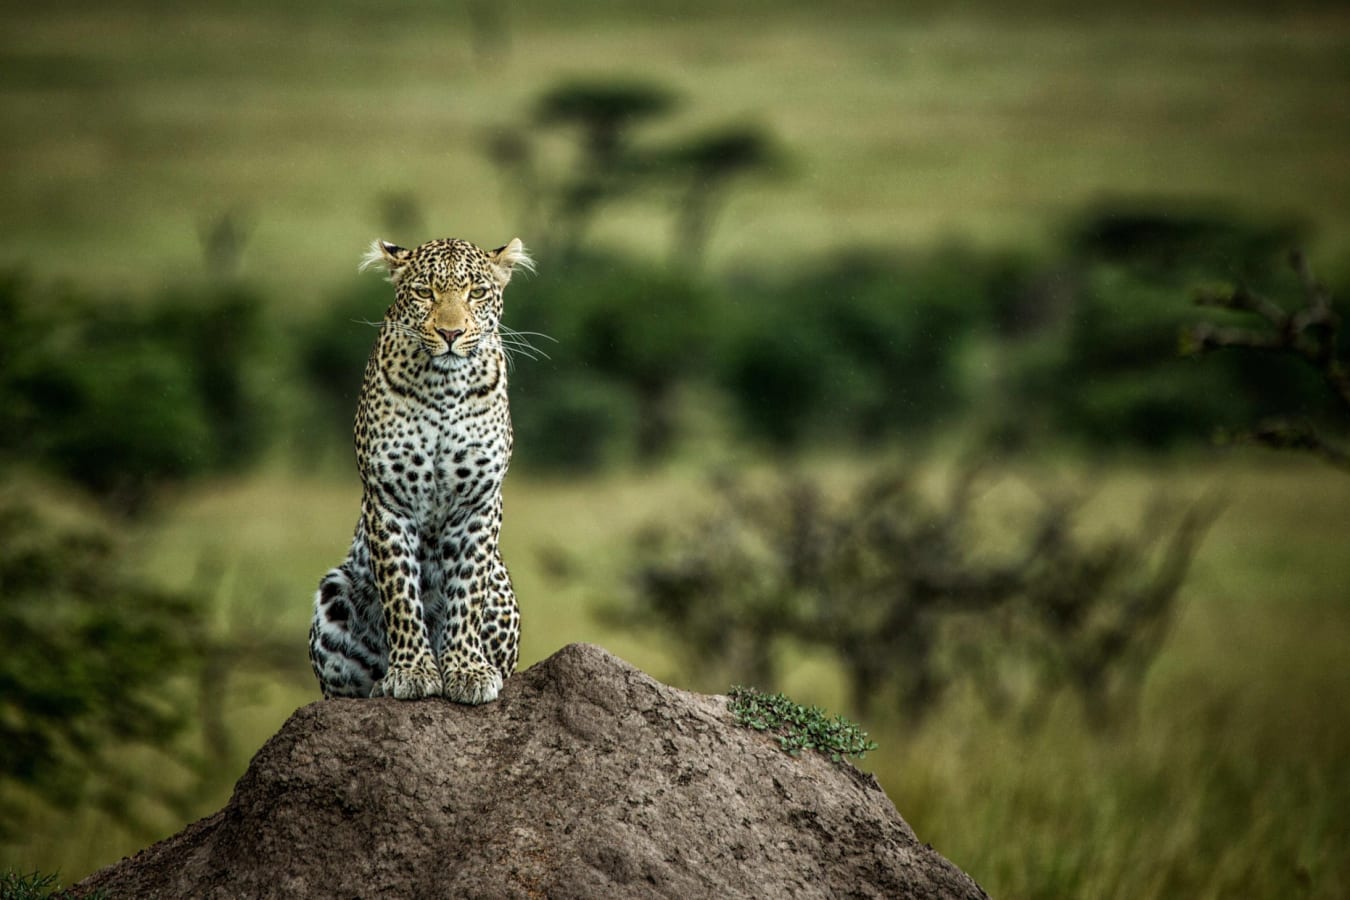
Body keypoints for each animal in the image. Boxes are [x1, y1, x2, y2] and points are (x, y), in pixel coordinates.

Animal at [308, 236, 534, 704]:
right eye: (424, 293)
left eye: (476, 293)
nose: (451, 333)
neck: (443, 388)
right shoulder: (388, 499)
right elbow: (400, 593)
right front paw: (412, 672)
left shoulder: (479, 502)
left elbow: (466, 591)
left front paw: (467, 671)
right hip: (333, 593)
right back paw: (380, 683)